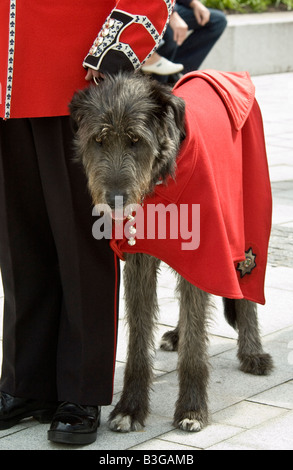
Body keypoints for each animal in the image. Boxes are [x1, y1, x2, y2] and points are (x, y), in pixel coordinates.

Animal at [69, 72, 272, 434]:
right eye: (99, 139)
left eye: (135, 140)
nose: (116, 201)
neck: (161, 181)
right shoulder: (139, 259)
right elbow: (138, 335)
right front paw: (130, 407)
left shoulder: (207, 249)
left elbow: (195, 337)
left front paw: (192, 408)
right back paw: (177, 335)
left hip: (249, 216)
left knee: (246, 285)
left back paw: (252, 352)